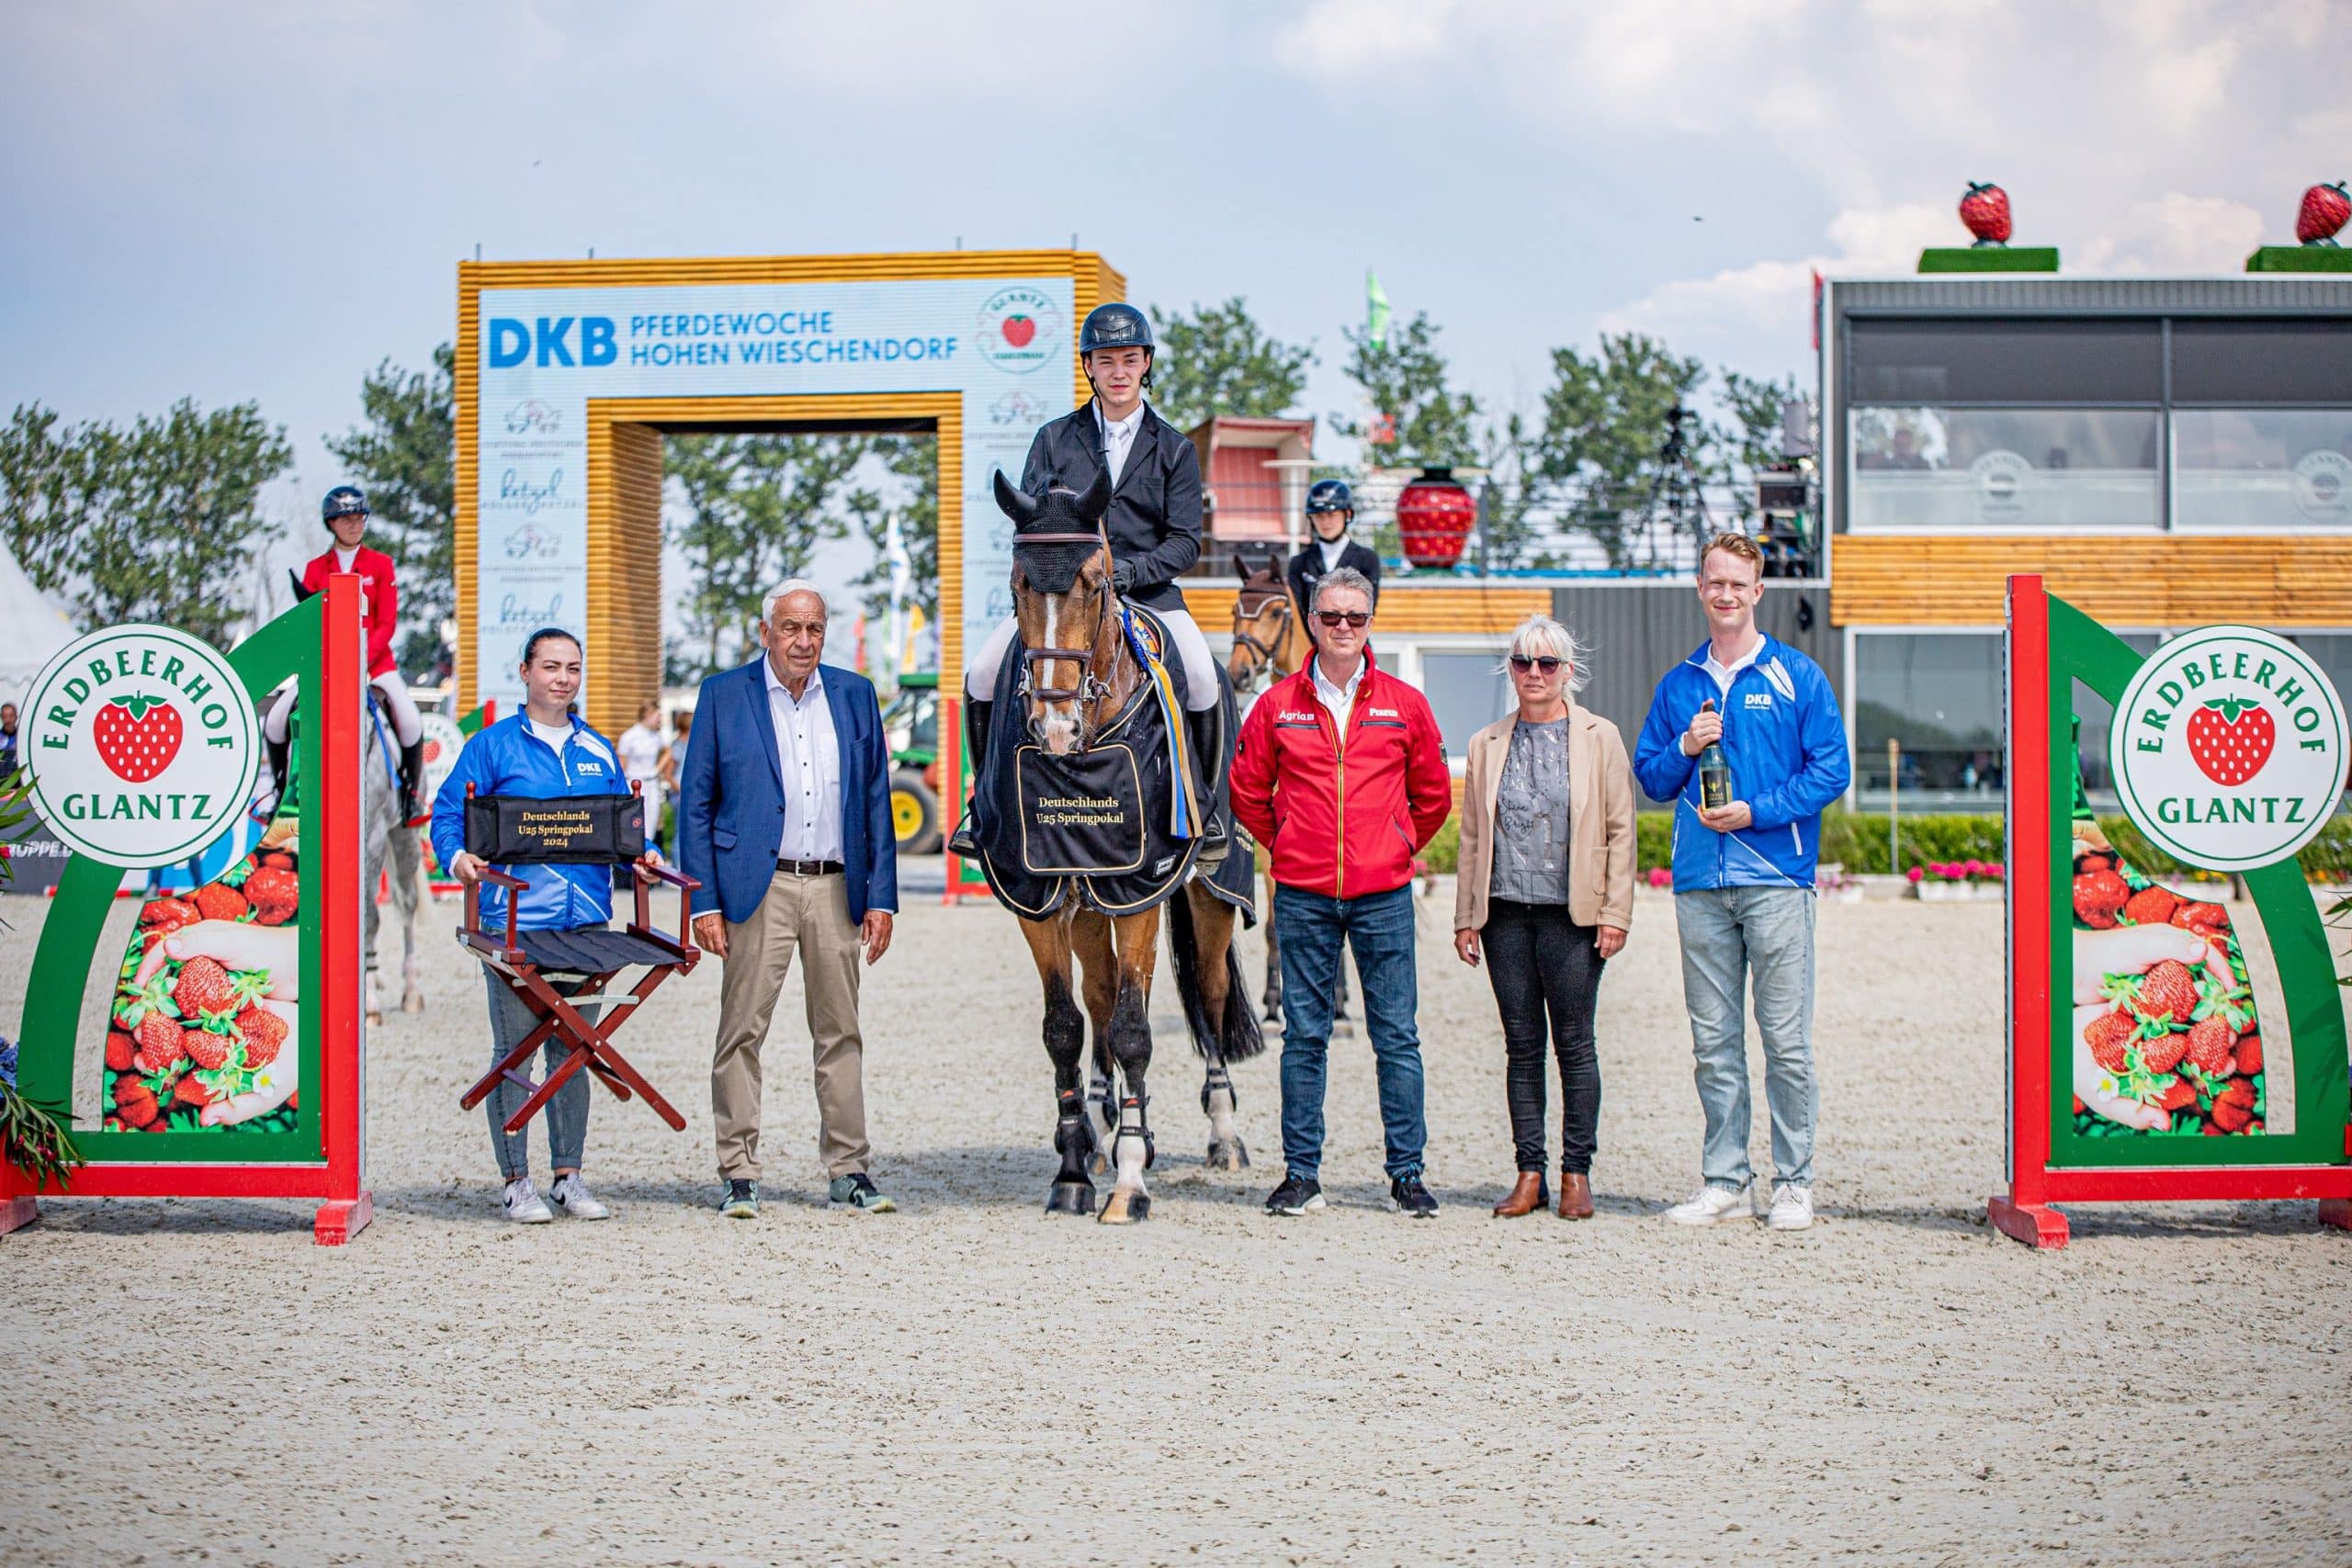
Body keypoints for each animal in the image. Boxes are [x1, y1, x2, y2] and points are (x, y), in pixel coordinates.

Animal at [988, 469, 1270, 1222]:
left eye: (1096, 584)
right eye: (1018, 584)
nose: (1054, 727)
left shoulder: (1142, 888)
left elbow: (1135, 1029)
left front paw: (1131, 1180)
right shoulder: (1036, 894)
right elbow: (1067, 1025)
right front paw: (1074, 1168)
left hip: (1207, 894)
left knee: (1207, 997)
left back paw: (1222, 1136)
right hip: (1088, 903)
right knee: (1102, 993)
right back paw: (1100, 1123)